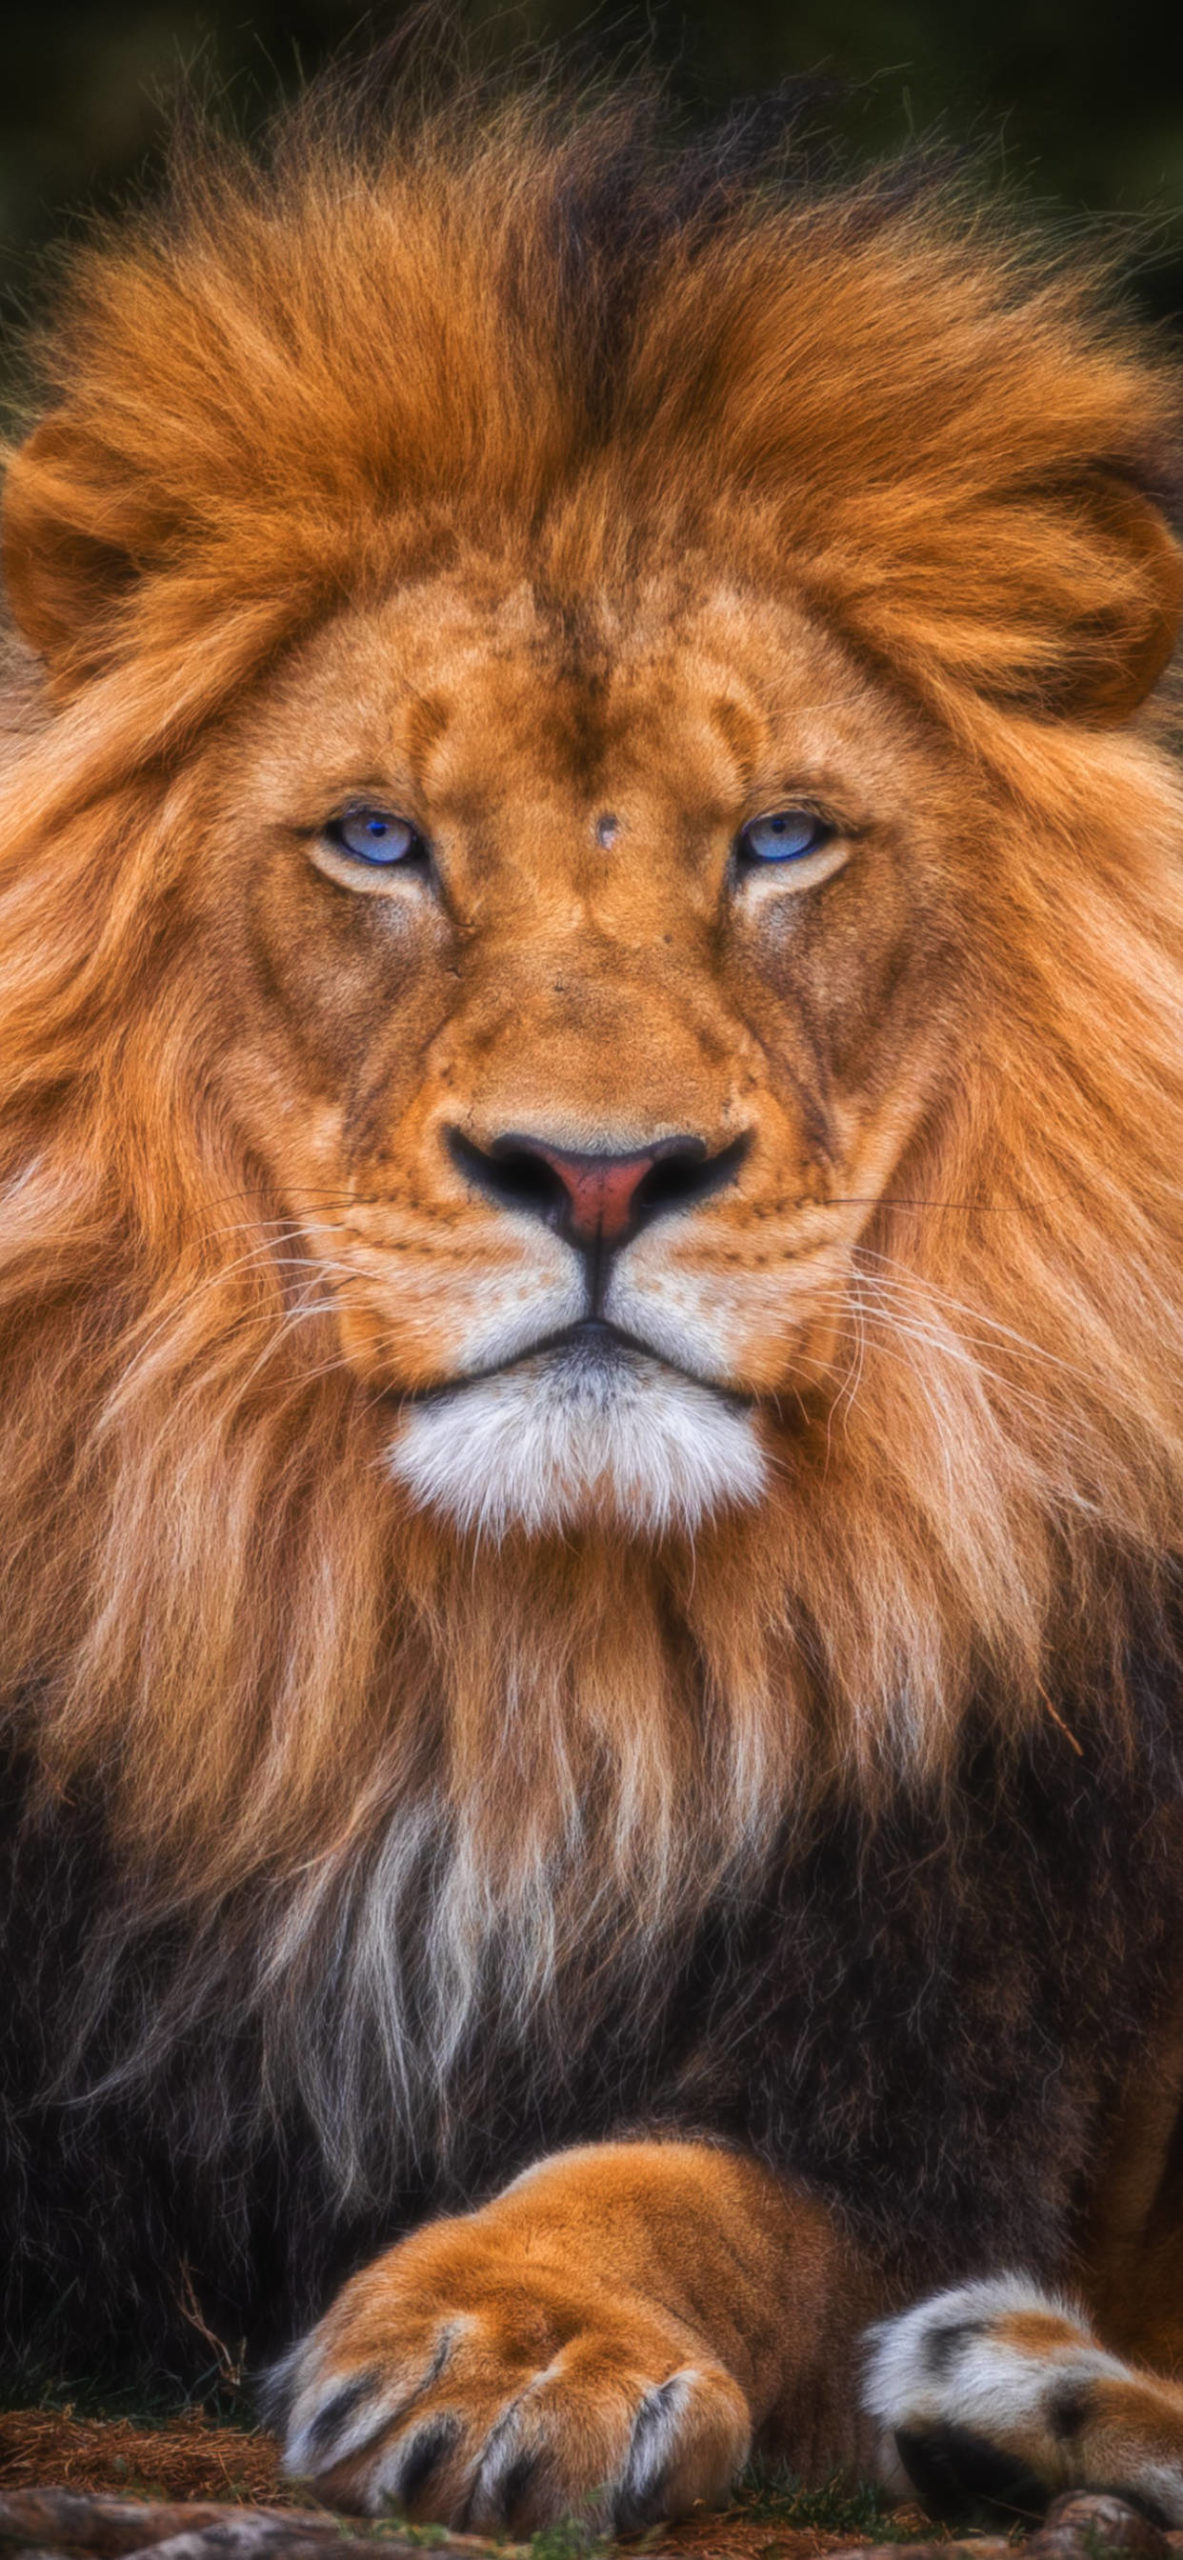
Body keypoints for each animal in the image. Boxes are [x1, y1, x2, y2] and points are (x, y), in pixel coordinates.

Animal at [3, 69, 1183, 2536]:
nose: (601, 1171)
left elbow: (679, 2189)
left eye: (781, 840)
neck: (488, 1665)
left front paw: (502, 2341)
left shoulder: (925, 2089)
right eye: (376, 840)